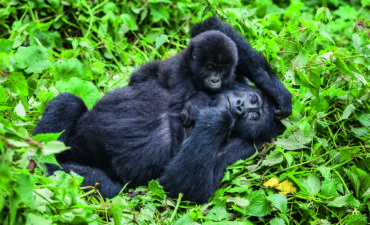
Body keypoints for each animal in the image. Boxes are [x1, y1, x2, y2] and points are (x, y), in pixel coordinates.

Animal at [34, 80, 284, 203]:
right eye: (253, 100)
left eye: (254, 117)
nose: (241, 108)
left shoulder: (244, 147)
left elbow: (184, 186)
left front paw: (219, 117)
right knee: (70, 102)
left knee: (107, 187)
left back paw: (41, 167)